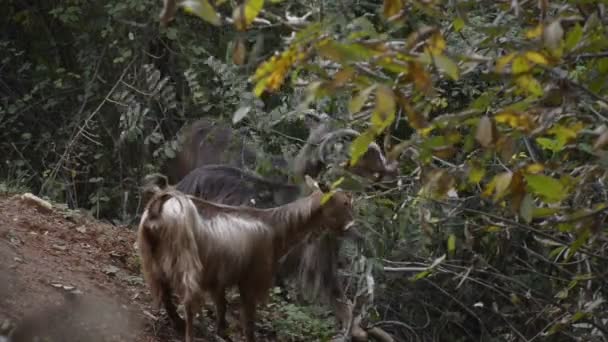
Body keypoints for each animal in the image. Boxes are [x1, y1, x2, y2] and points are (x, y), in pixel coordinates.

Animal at [137, 176, 356, 342]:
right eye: (345, 202)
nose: (350, 226)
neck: (276, 227)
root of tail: (158, 208)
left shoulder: (219, 277)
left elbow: (222, 308)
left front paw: (222, 334)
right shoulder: (252, 279)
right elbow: (249, 320)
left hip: (152, 260)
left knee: (164, 294)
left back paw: (178, 323)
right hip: (187, 262)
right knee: (188, 303)